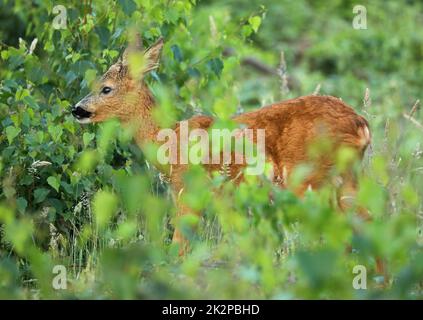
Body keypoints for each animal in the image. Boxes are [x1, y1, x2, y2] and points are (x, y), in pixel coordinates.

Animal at [72, 37, 372, 258]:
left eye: (106, 88)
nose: (77, 109)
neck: (169, 140)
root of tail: (361, 125)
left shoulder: (188, 188)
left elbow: (178, 246)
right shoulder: (224, 198)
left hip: (310, 178)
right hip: (345, 178)